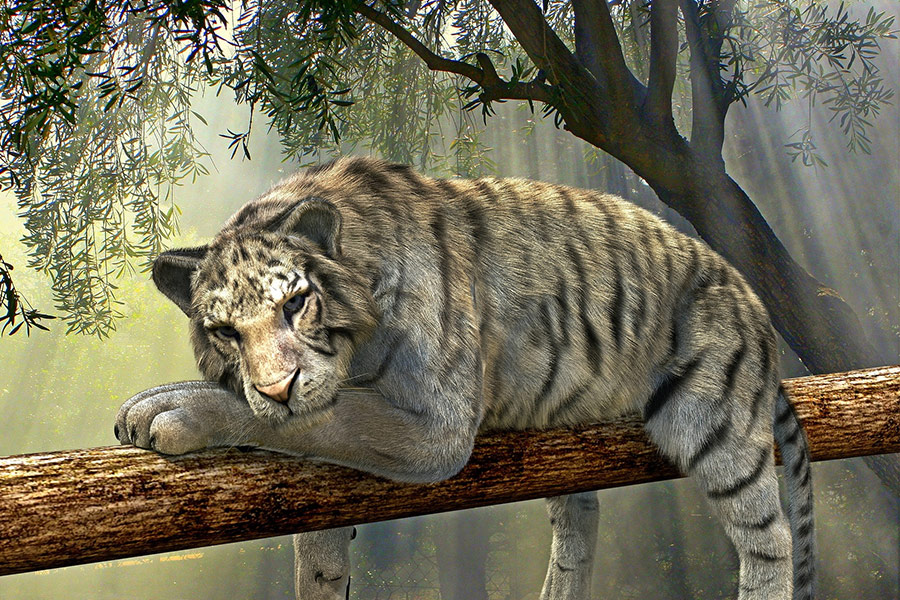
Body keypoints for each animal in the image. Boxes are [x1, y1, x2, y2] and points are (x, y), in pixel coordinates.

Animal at [115, 156, 815, 600]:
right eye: (225, 332)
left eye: (295, 303)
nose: (276, 388)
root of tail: (751, 300)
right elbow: (317, 539)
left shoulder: (436, 429)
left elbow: (324, 418)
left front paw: (171, 410)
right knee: (580, 517)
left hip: (713, 425)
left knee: (770, 539)